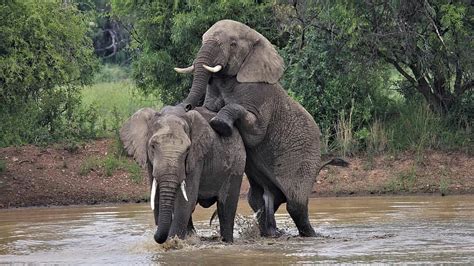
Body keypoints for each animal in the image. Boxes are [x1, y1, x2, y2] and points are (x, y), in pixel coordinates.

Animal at [119, 105, 244, 244]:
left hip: (237, 164)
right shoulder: (151, 163)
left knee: (226, 207)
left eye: (188, 149)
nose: (156, 237)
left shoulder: (195, 159)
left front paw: (172, 243)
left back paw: (227, 242)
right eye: (152, 146)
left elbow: (185, 200)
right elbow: (157, 197)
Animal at [172, 19, 342, 238]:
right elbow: (209, 110)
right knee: (257, 200)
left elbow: (255, 132)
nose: (184, 106)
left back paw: (310, 235)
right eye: (202, 39)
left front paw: (220, 124)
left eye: (233, 44)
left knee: (296, 205)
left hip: (306, 161)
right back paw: (270, 233)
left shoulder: (261, 95)